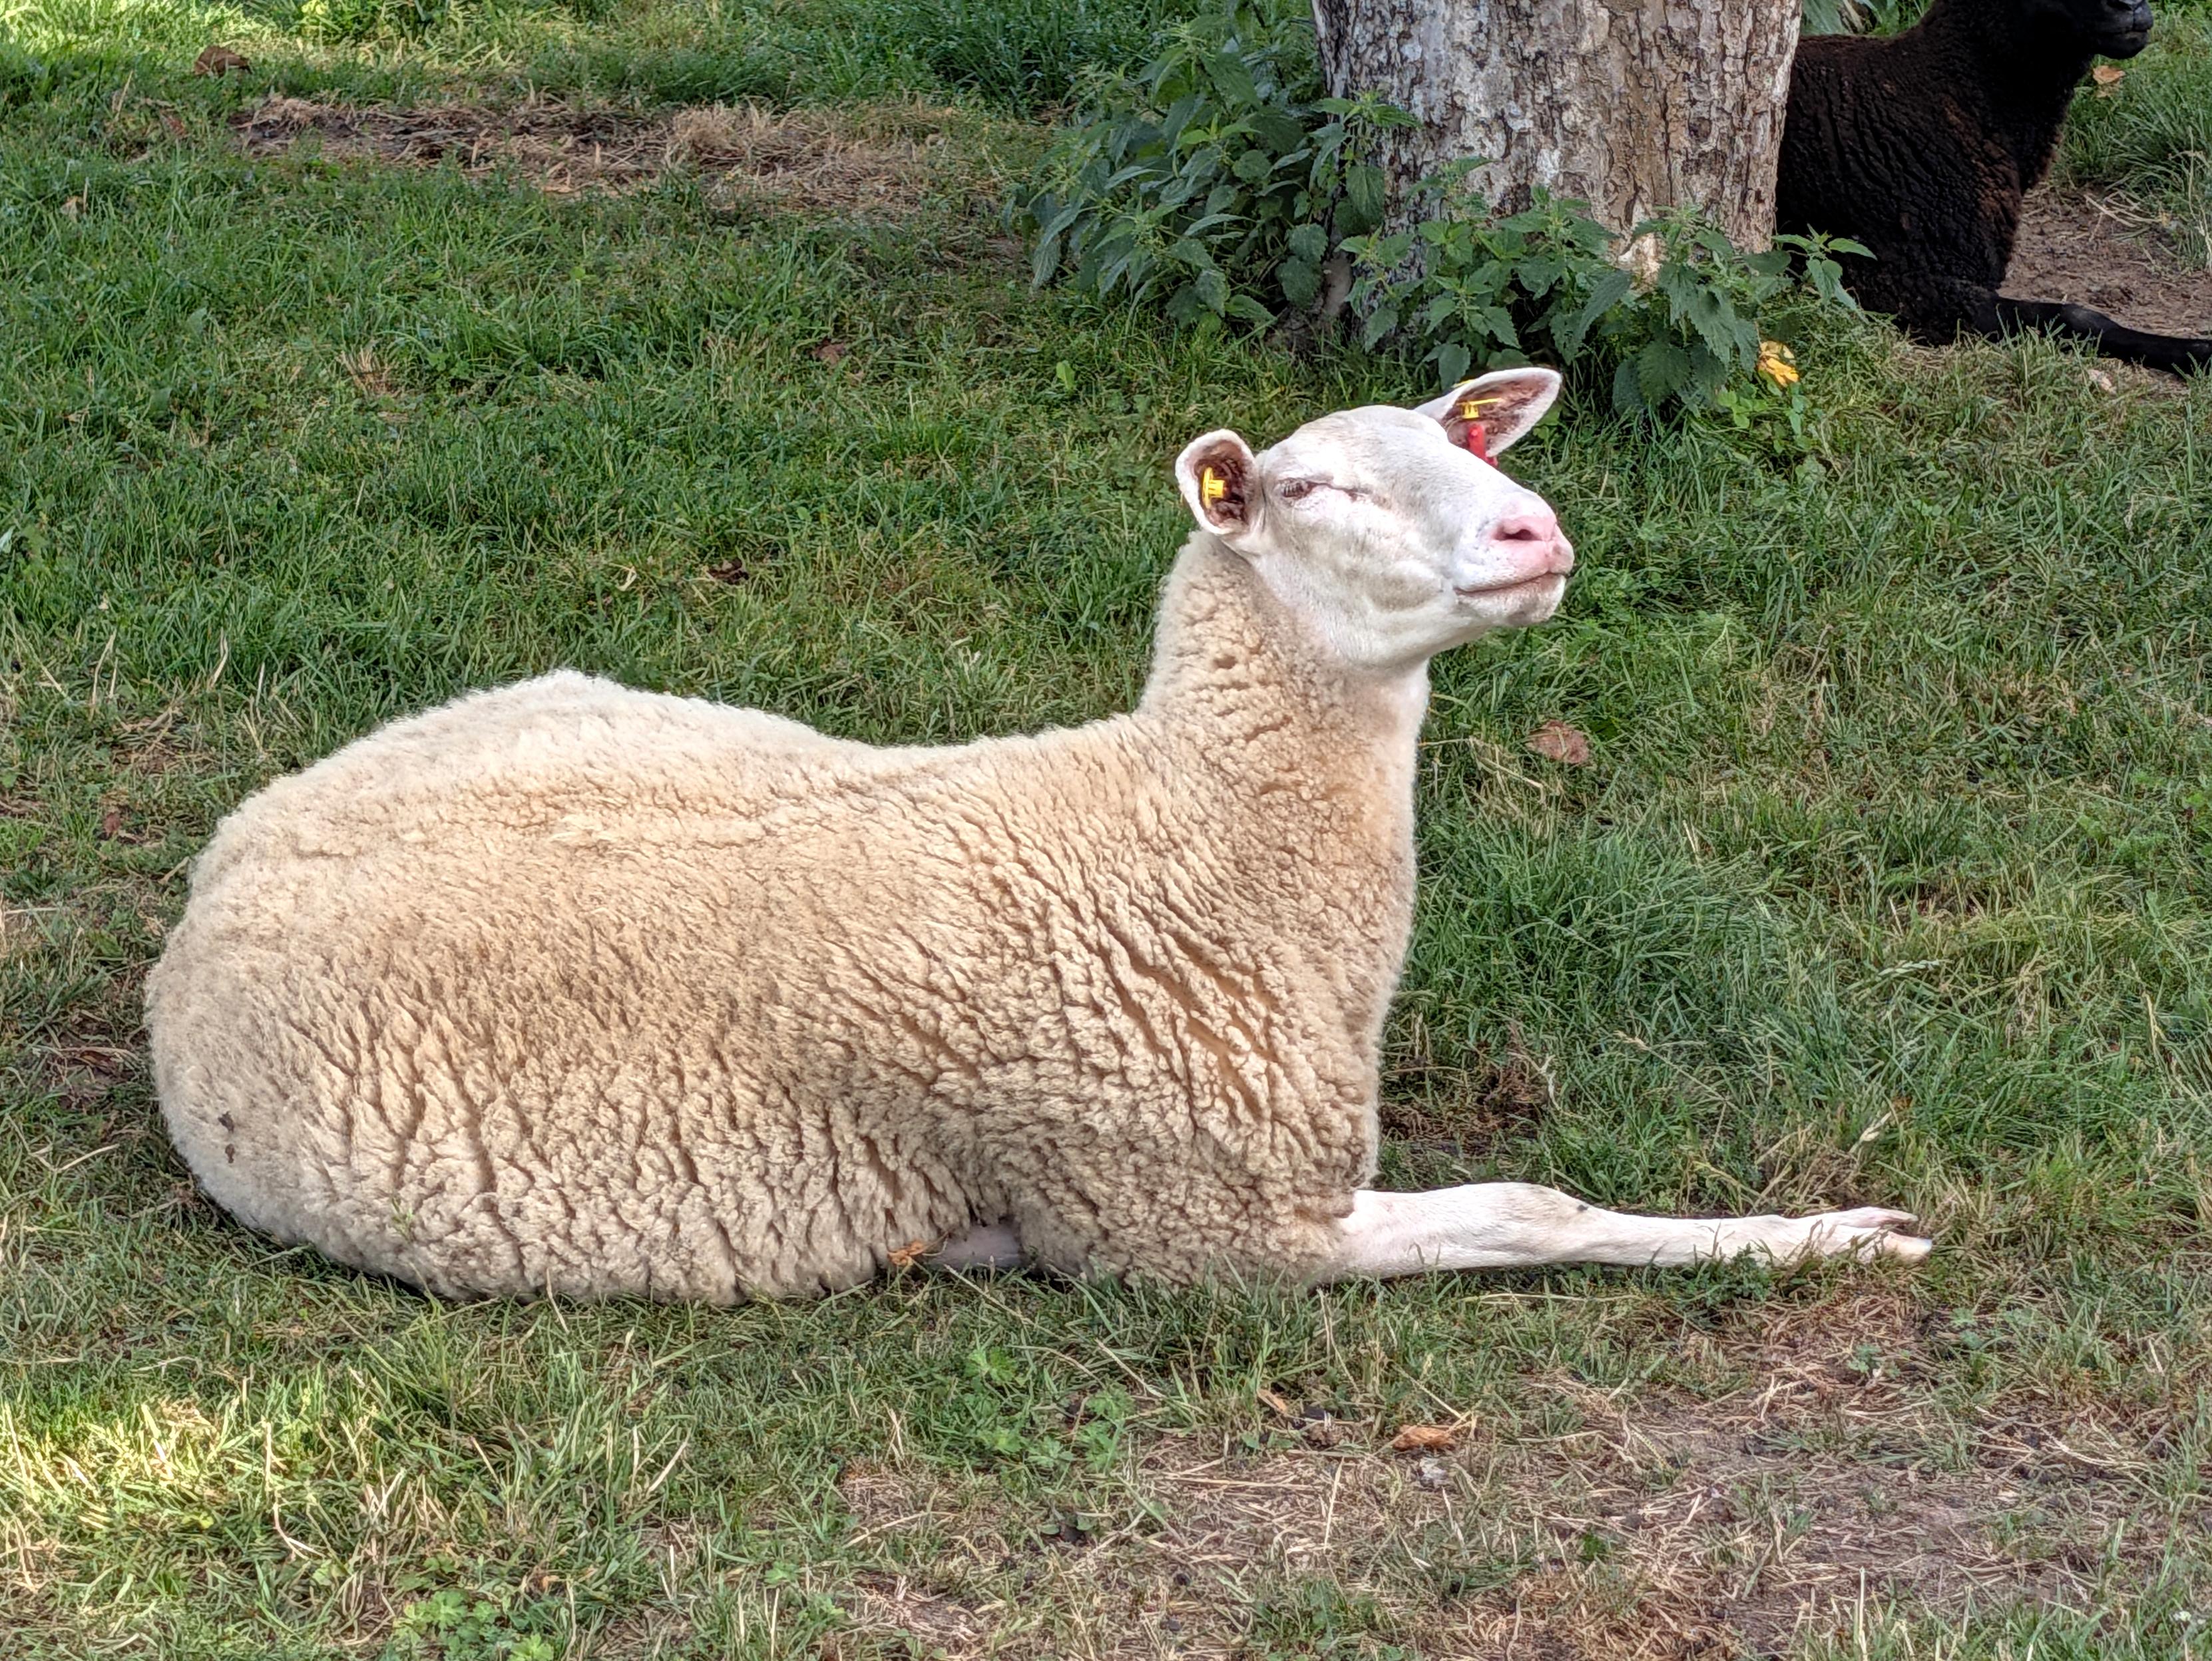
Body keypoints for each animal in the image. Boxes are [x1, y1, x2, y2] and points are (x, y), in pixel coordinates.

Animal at [146, 369, 1933, 1302]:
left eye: (1466, 441)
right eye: (1312, 492)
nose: (1531, 531)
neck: (1178, 834)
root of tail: (219, 874)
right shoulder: (1195, 1224)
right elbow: (1534, 1212)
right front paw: (1822, 1236)